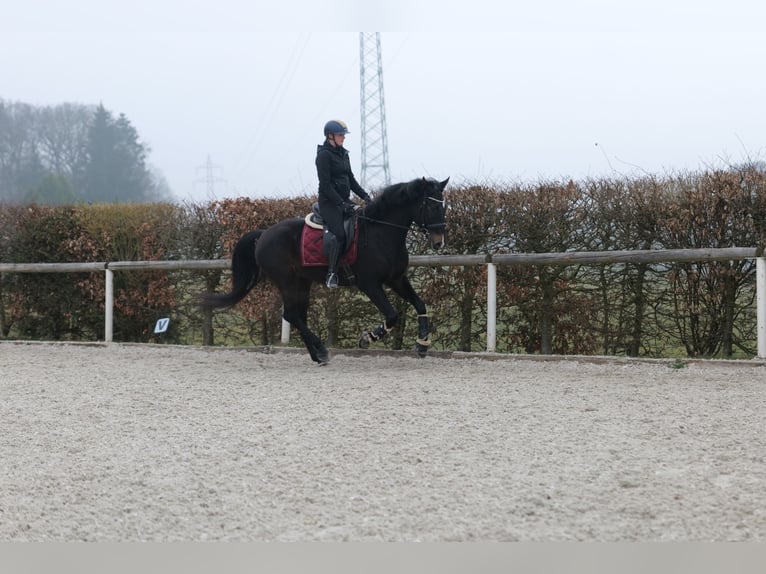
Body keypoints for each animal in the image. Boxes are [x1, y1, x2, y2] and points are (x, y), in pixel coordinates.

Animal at [200, 177, 450, 364]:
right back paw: (321, 349)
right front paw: (367, 338)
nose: (439, 242)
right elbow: (392, 315)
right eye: (432, 206)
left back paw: (317, 355)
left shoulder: (396, 279)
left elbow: (419, 304)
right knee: (291, 315)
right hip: (287, 281)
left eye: (444, 205)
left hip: (302, 283)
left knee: (297, 315)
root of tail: (263, 234)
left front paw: (422, 344)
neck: (381, 232)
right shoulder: (370, 284)